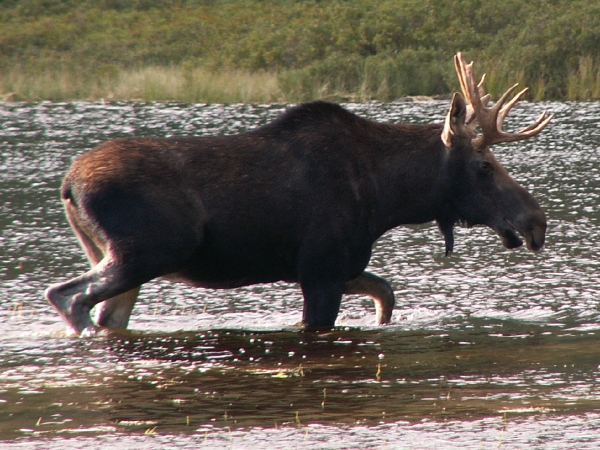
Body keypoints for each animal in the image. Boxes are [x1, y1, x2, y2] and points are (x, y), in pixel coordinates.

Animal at [45, 53, 552, 334]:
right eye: (484, 165)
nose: (536, 221)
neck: (390, 198)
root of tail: (69, 185)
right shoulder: (321, 268)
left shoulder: (337, 265)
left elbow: (386, 295)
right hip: (148, 251)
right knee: (68, 296)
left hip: (118, 256)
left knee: (108, 315)